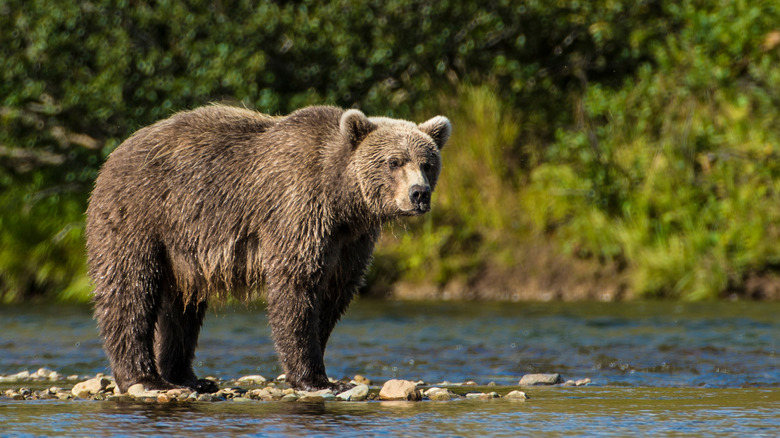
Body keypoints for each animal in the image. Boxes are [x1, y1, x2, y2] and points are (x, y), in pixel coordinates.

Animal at [85, 105, 450, 394]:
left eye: (427, 163)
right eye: (394, 161)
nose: (419, 194)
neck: (343, 200)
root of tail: (114, 154)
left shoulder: (350, 241)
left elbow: (334, 294)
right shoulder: (298, 210)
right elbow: (296, 287)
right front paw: (316, 379)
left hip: (183, 249)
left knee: (183, 308)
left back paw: (190, 378)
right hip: (142, 215)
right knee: (130, 290)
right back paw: (145, 378)